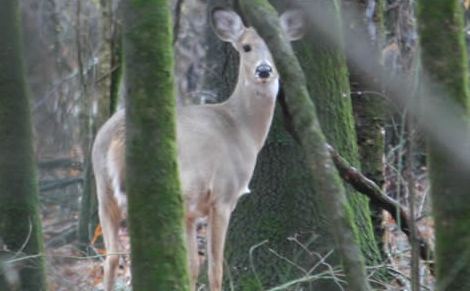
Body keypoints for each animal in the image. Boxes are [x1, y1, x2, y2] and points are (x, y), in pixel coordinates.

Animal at [92, 8, 304, 291]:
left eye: (276, 46)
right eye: (246, 47)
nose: (263, 70)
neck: (241, 128)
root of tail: (116, 135)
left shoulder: (191, 211)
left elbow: (192, 266)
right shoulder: (223, 195)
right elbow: (214, 268)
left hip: (103, 191)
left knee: (111, 258)